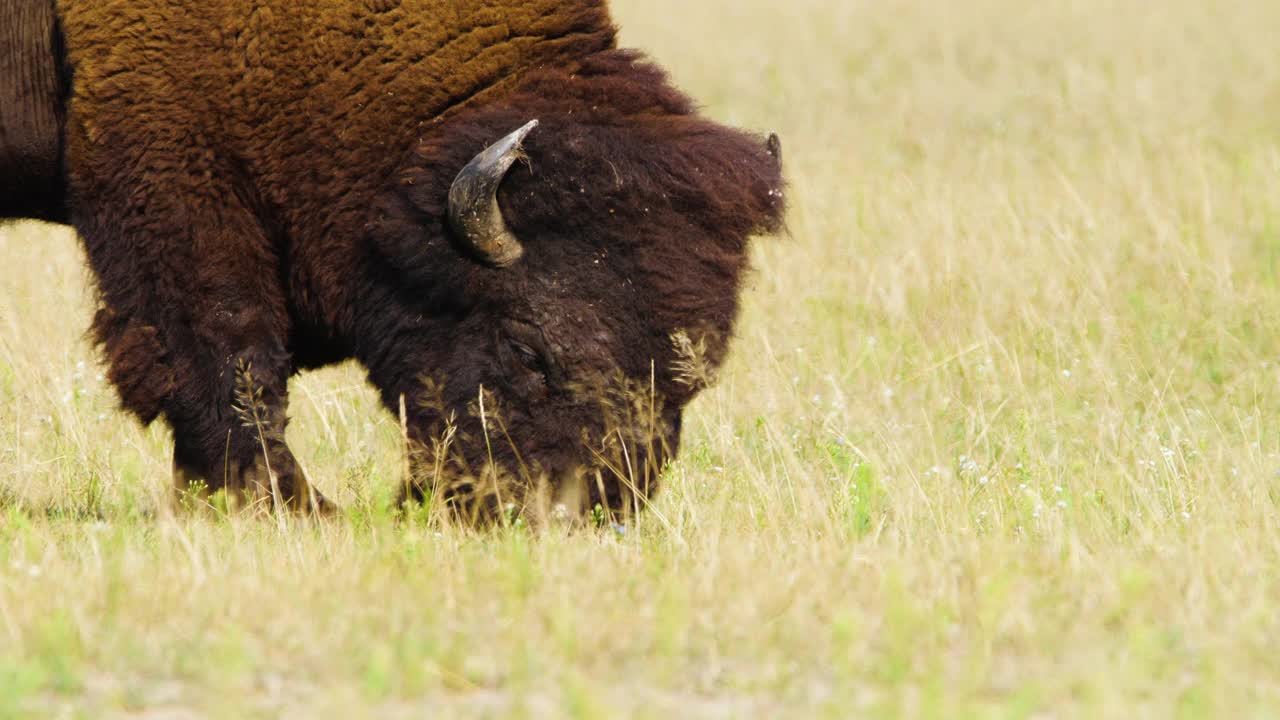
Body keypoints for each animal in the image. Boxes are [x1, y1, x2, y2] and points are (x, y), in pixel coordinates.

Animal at [0, 0, 783, 515]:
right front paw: (294, 506)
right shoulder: (175, 181)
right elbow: (228, 350)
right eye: (530, 353)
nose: (578, 513)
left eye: (691, 379)